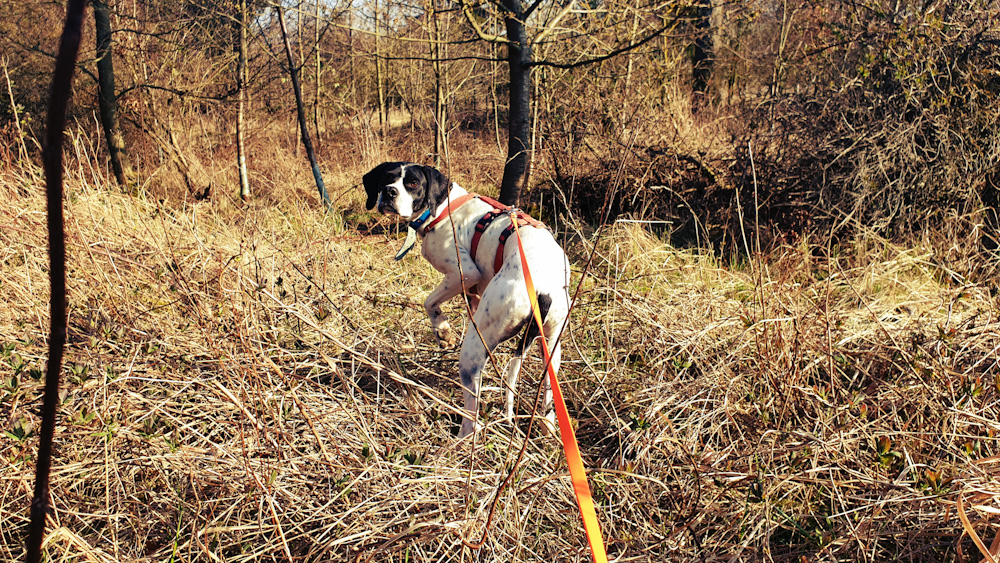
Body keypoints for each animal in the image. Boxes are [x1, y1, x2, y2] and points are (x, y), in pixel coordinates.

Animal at [363, 162, 571, 438]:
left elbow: (429, 303)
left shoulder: (463, 273)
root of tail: (543, 288)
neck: (443, 207)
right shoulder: (473, 292)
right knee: (548, 397)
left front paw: (442, 331)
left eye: (413, 183)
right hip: (551, 348)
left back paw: (459, 441)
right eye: (387, 178)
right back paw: (547, 427)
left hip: (472, 353)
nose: (389, 192)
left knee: (472, 418)